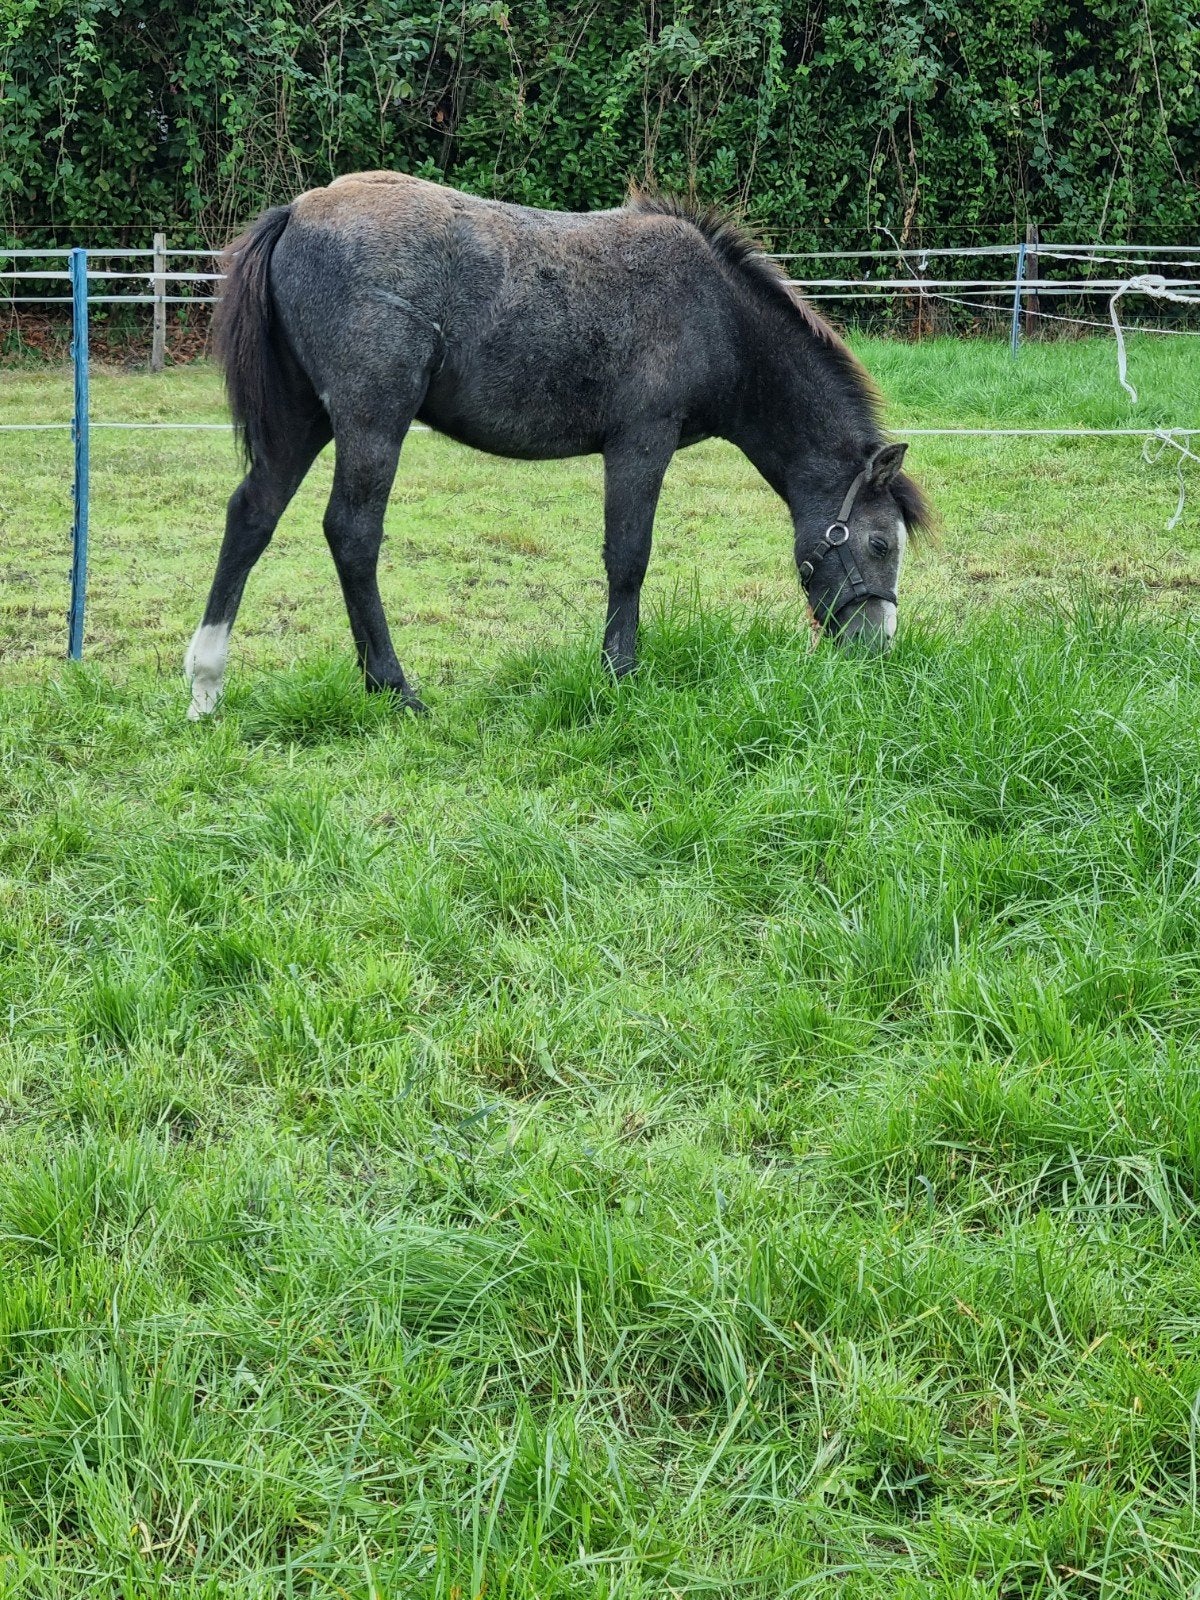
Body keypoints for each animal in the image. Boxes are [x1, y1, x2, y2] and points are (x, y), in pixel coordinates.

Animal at [185, 171, 930, 719]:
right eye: (879, 543)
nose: (878, 650)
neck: (716, 311)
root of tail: (297, 211)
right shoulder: (641, 442)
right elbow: (628, 558)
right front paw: (620, 672)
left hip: (304, 421)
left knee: (252, 517)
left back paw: (206, 685)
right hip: (372, 422)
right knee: (352, 533)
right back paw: (394, 688)